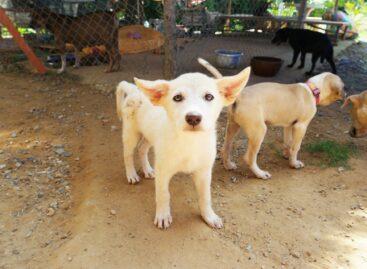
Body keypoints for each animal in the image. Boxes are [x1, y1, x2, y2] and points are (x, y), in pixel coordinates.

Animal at [116, 67, 252, 228]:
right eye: (178, 97)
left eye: (209, 97)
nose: (193, 118)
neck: (190, 143)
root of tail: (133, 89)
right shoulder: (163, 170)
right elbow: (163, 195)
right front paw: (163, 216)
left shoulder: (204, 172)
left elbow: (205, 196)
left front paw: (209, 217)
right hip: (131, 132)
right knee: (128, 154)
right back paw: (131, 174)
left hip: (150, 134)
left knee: (142, 148)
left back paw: (148, 170)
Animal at [198, 58, 344, 178]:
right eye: (343, 86)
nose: (346, 93)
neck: (312, 89)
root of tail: (240, 96)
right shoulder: (301, 126)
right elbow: (296, 147)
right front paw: (294, 163)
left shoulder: (289, 125)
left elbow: (288, 143)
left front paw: (287, 155)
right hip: (259, 131)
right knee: (249, 158)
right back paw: (260, 174)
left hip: (233, 126)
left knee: (225, 147)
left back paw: (228, 165)